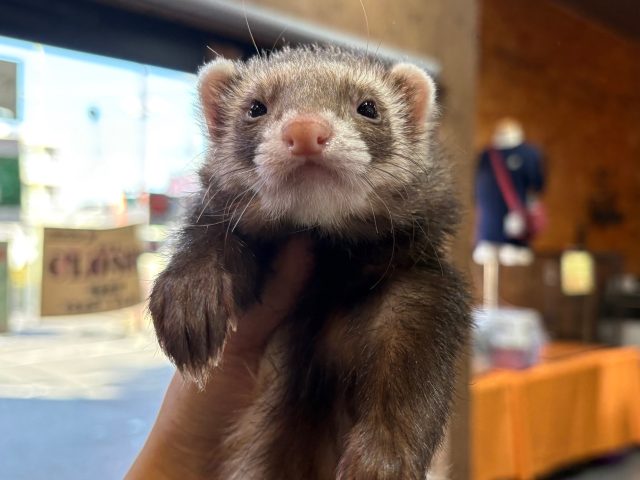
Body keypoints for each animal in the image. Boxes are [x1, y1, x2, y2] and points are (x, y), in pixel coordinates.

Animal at [149, 45, 471, 480]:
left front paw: (380, 462)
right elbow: (208, 233)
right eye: (255, 107)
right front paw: (190, 294)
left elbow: (415, 378)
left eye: (369, 107)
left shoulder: (421, 289)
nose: (305, 129)